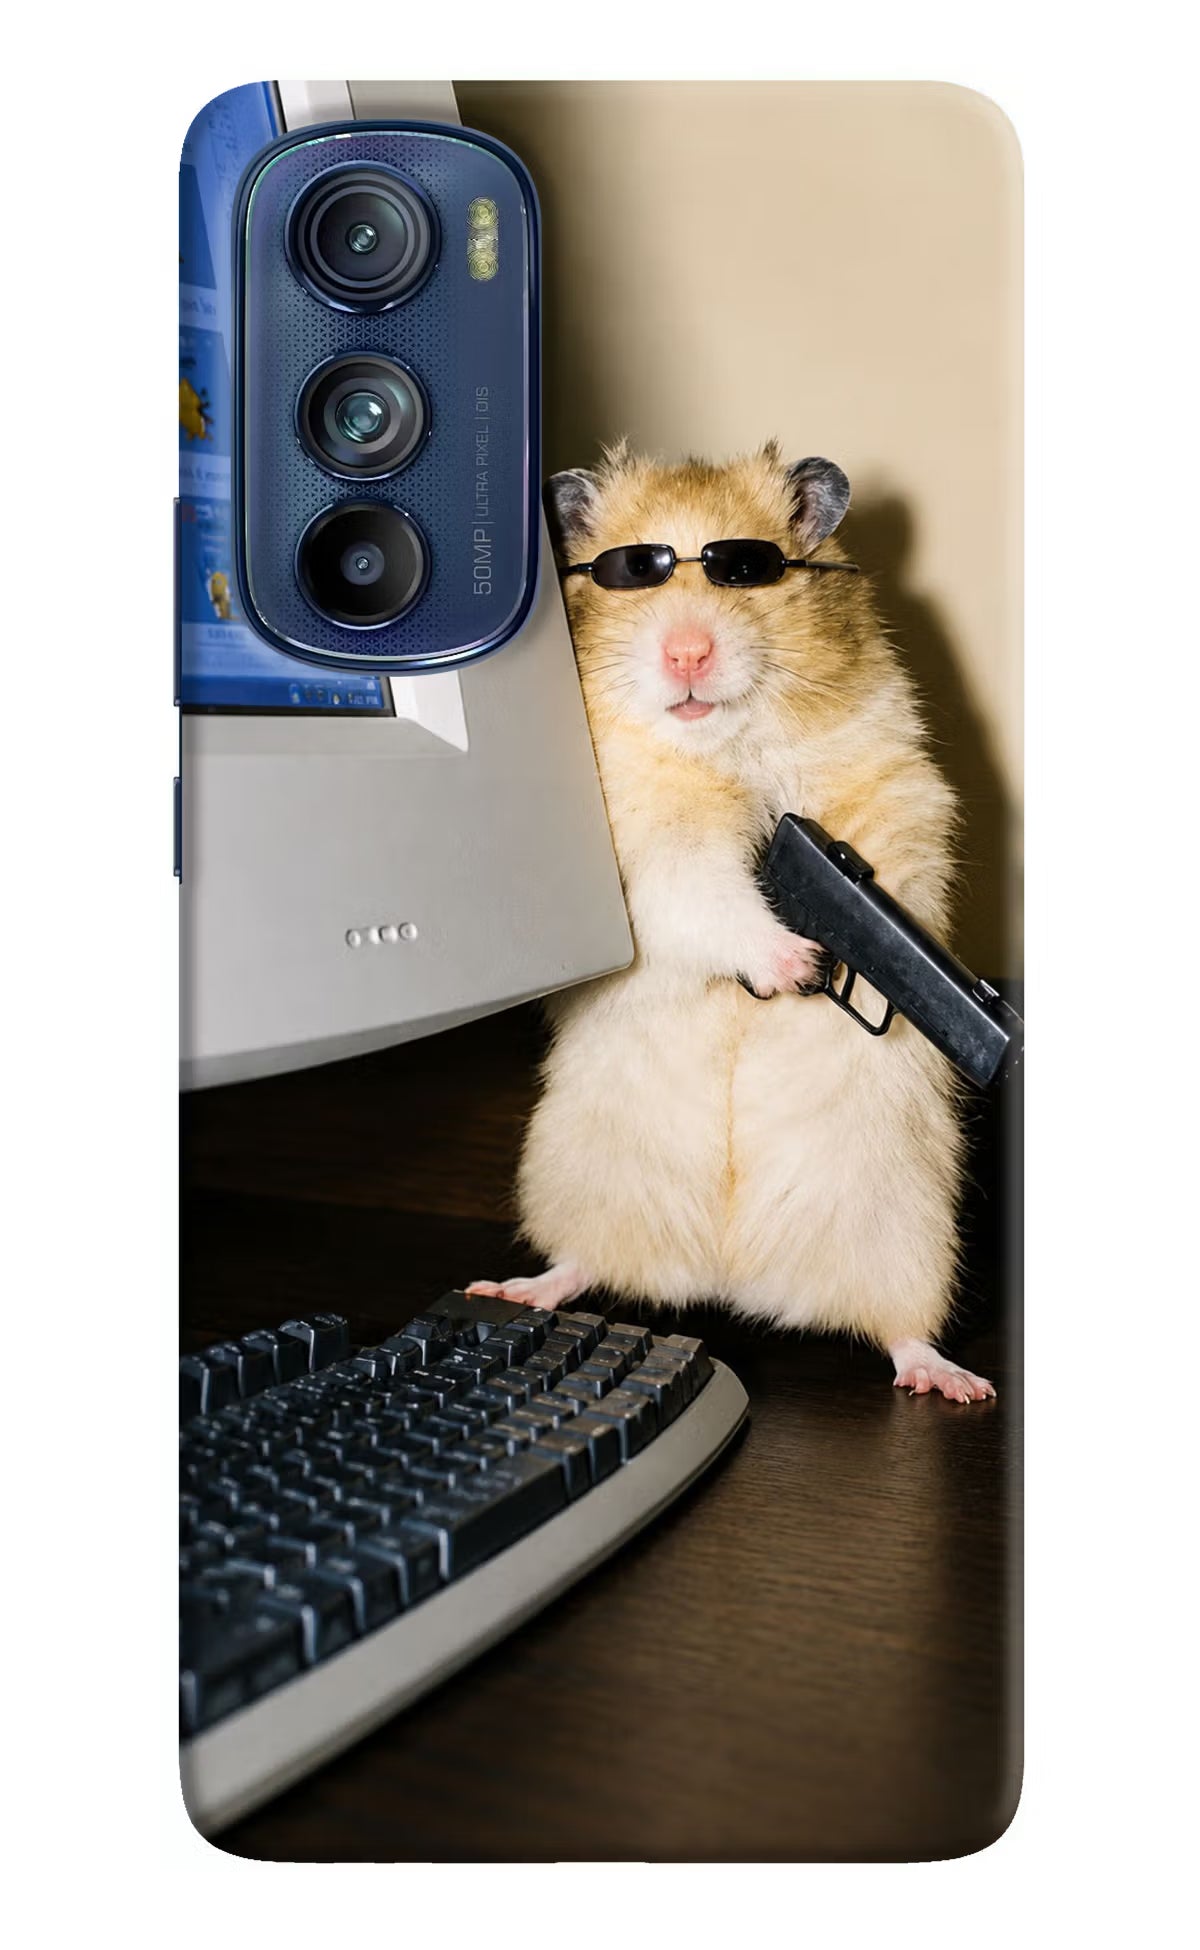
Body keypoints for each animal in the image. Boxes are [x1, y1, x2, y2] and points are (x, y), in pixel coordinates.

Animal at [468, 442, 994, 1402]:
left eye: (746, 570)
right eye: (633, 572)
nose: (686, 653)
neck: (724, 746)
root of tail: (730, 1276)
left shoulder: (895, 789)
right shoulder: (647, 853)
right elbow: (707, 896)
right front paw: (796, 964)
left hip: (907, 1229)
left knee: (900, 1329)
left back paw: (954, 1381)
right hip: (579, 1176)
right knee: (582, 1263)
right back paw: (515, 1288)